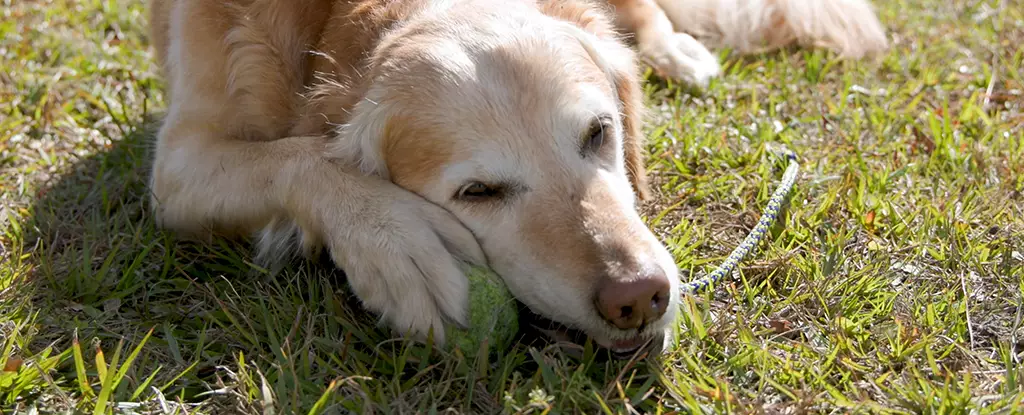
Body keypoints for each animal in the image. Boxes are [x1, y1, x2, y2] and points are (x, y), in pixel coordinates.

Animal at [146, 0, 888, 356]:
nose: (640, 296)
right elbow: (304, 157)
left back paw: (677, 50)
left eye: (599, 133)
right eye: (478, 193)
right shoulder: (178, 165)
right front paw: (399, 249)